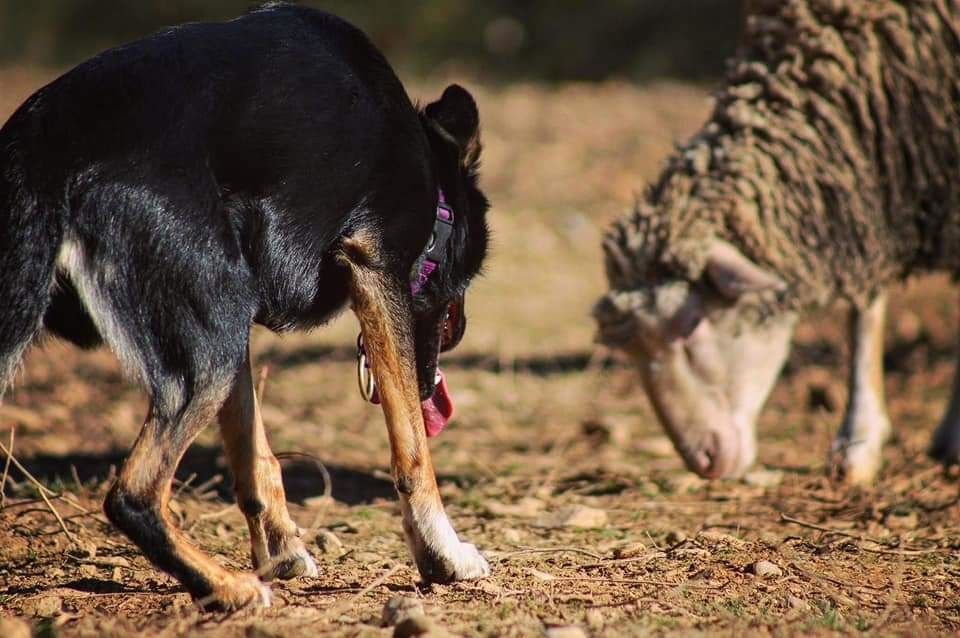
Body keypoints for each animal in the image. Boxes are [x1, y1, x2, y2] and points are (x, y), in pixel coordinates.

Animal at [0, 3, 492, 608]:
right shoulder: (373, 270)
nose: (461, 332)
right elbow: (412, 449)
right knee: (132, 494)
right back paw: (226, 587)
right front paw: (444, 555)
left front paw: (280, 551)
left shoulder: (236, 316)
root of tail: (43, 154)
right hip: (208, 348)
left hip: (211, 320)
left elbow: (254, 453)